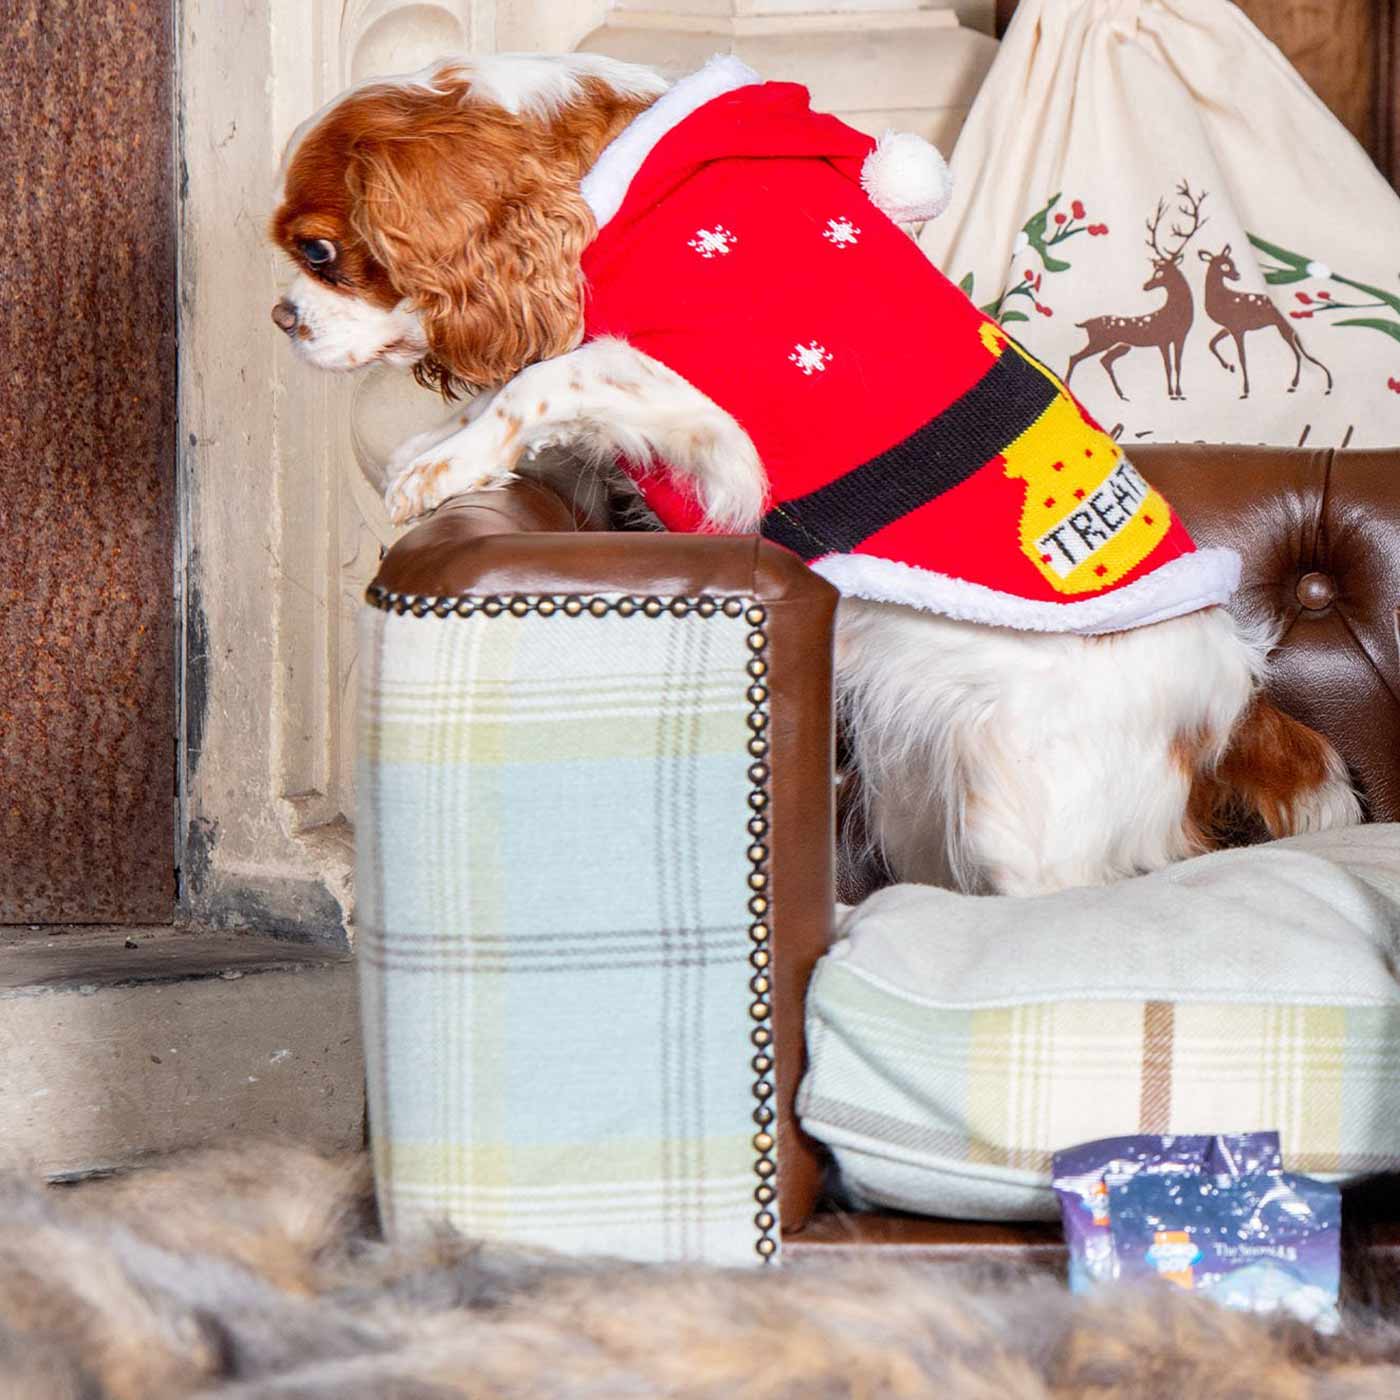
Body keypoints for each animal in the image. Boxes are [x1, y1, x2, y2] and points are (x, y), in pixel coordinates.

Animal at [267, 54, 1360, 896]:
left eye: (318, 252)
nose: (282, 318)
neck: (612, 187)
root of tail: (1236, 701)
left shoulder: (712, 419)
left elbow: (546, 375)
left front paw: (437, 463)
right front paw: (440, 448)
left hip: (1022, 809)